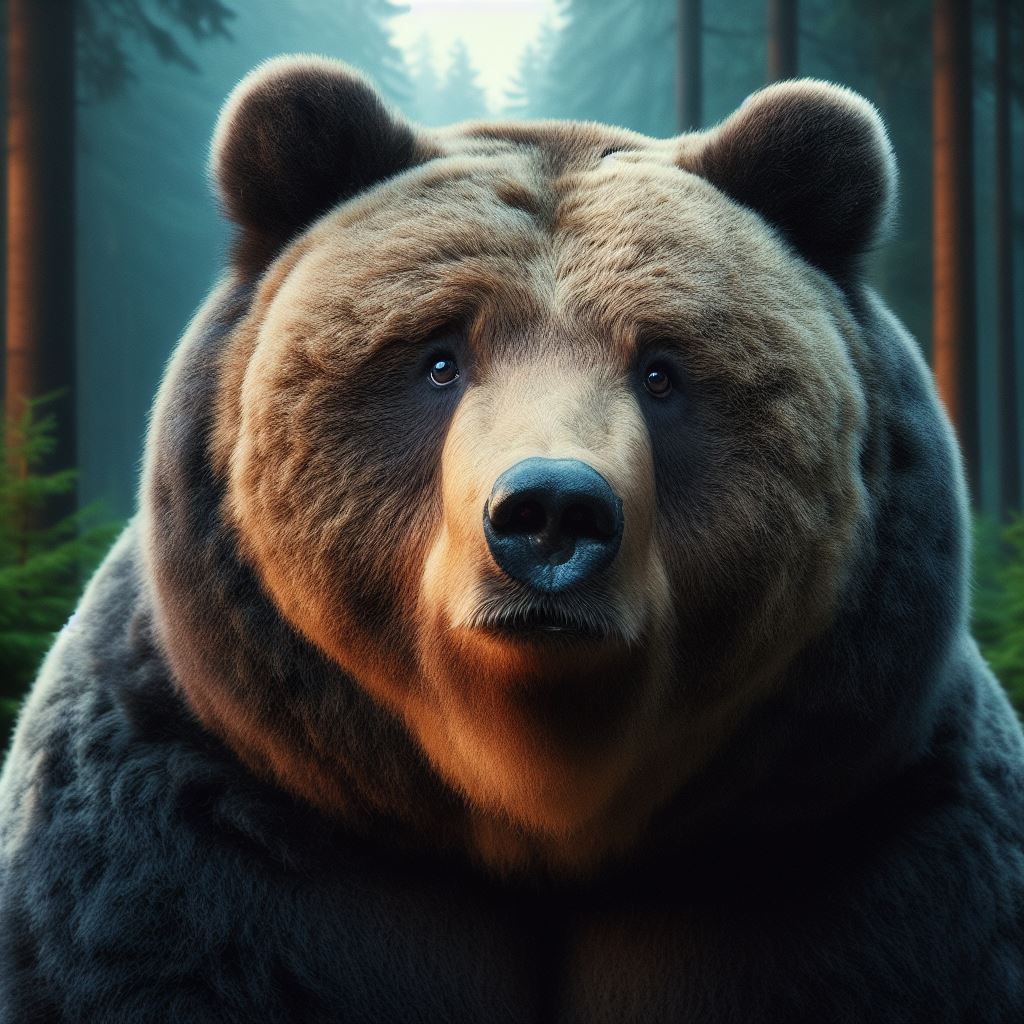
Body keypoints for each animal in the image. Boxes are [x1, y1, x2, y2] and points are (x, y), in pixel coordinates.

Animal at [2, 53, 1023, 1023]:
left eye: (662, 370)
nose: (552, 512)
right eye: (439, 358)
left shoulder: (860, 846)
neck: (533, 792)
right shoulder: (210, 834)